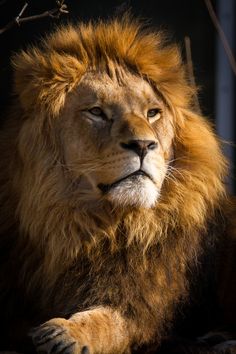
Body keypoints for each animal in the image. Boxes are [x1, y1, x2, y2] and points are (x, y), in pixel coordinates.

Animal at [0, 17, 236, 354]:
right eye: (97, 112)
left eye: (152, 113)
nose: (143, 145)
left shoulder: (142, 307)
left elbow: (111, 322)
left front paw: (66, 333)